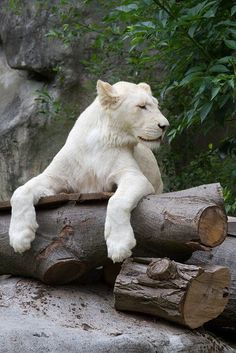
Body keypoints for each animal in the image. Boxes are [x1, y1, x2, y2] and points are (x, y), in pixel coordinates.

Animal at [8, 80, 168, 262]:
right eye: (142, 106)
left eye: (156, 105)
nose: (165, 126)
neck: (98, 141)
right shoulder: (55, 176)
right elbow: (20, 191)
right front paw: (20, 238)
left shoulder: (132, 175)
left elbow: (117, 200)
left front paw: (119, 247)